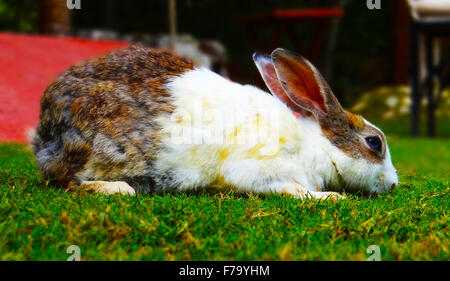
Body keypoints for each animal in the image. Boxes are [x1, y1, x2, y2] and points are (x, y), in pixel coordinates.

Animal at [30, 44, 398, 198]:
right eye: (374, 143)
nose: (394, 183)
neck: (314, 148)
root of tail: (44, 133)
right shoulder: (260, 171)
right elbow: (292, 190)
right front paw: (332, 197)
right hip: (98, 151)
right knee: (67, 181)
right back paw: (117, 189)